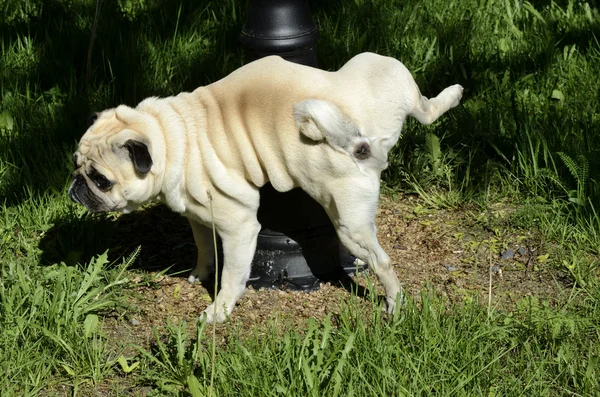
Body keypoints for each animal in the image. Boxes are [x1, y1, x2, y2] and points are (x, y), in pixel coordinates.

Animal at [70, 51, 464, 322]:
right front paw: (200, 273)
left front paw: (218, 311)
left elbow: (231, 275)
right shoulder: (198, 217)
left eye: (101, 180)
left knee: (383, 261)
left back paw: (394, 304)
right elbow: (204, 248)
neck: (172, 134)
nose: (75, 186)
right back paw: (453, 95)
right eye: (75, 164)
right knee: (425, 108)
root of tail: (364, 141)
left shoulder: (240, 227)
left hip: (349, 225)